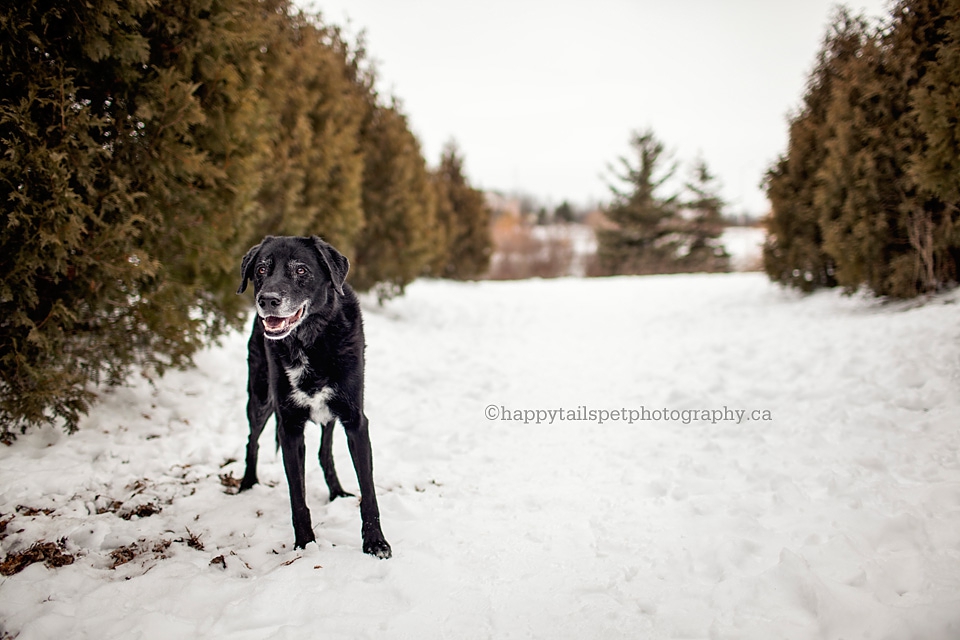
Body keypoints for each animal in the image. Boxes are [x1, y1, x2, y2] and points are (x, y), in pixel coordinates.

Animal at [237, 236, 394, 560]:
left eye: (301, 270)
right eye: (261, 269)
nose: (267, 300)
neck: (309, 341)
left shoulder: (355, 420)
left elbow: (368, 491)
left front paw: (375, 542)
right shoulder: (289, 427)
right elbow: (297, 495)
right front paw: (305, 544)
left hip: (330, 413)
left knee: (324, 452)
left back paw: (337, 493)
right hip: (260, 399)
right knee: (252, 440)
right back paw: (247, 484)